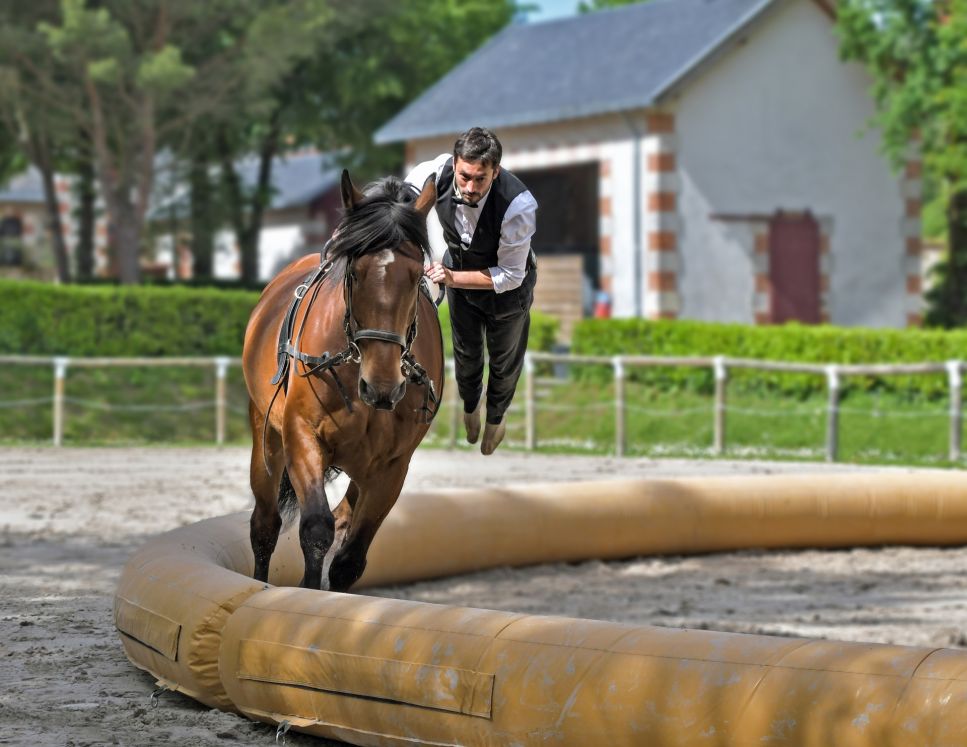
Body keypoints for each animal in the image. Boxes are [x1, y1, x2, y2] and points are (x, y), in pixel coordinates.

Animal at [242, 171, 443, 591]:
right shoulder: (301, 435)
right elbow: (316, 530)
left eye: (417, 276)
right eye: (354, 272)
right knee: (265, 525)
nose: (382, 387)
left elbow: (350, 559)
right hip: (265, 435)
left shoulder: (392, 466)